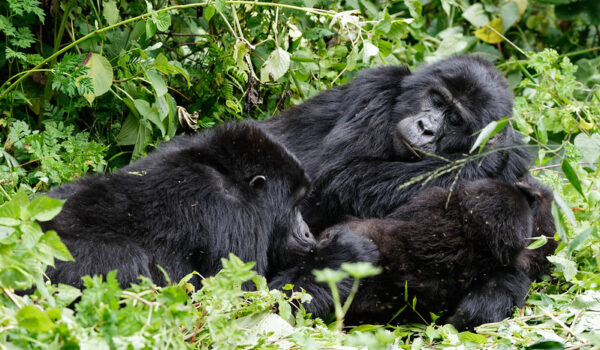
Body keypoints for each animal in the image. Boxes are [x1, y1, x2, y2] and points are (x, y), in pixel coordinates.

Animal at [39, 121, 378, 318]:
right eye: (294, 205)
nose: (307, 233)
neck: (227, 173)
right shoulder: (235, 218)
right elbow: (235, 306)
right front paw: (344, 254)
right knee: (125, 260)